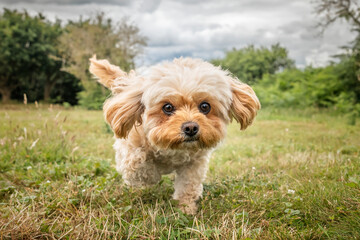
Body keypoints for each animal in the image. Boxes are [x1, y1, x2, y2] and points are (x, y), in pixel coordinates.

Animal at [88, 56, 260, 214]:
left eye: (205, 106)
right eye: (168, 107)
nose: (190, 128)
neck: (172, 150)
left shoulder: (194, 165)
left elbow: (187, 187)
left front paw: (186, 209)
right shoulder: (129, 155)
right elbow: (141, 166)